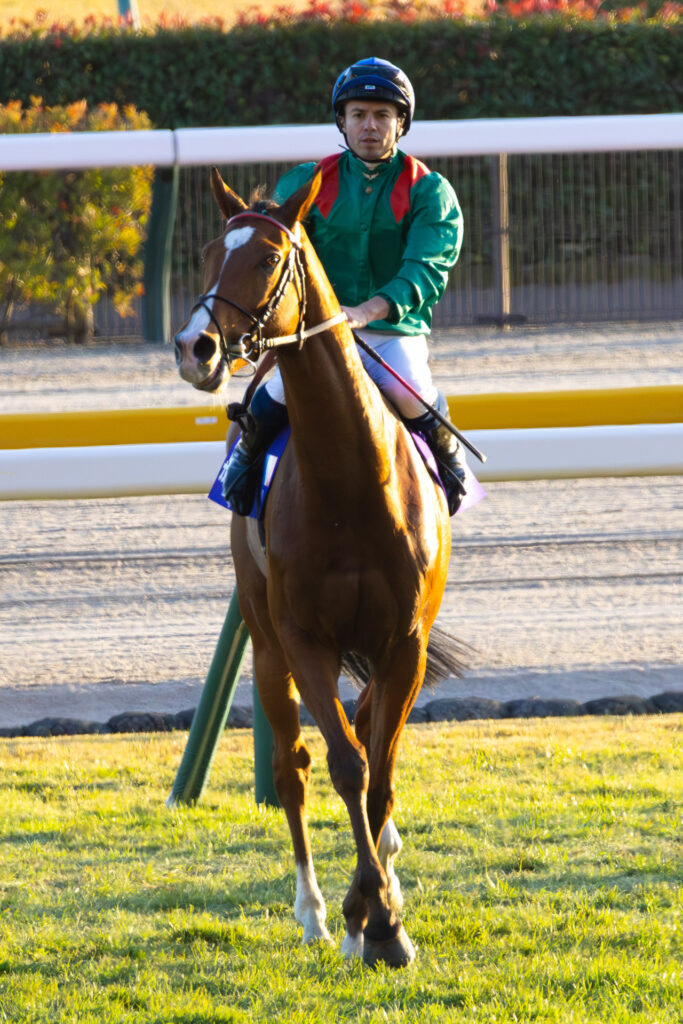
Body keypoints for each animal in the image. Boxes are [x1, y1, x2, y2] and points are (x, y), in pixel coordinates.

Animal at [173, 168, 466, 968]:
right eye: (208, 253)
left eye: (271, 257)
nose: (195, 347)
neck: (351, 482)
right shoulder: (304, 640)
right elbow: (344, 765)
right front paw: (375, 922)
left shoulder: (403, 643)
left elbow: (379, 771)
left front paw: (382, 909)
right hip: (266, 640)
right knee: (292, 767)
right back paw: (312, 911)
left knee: (363, 737)